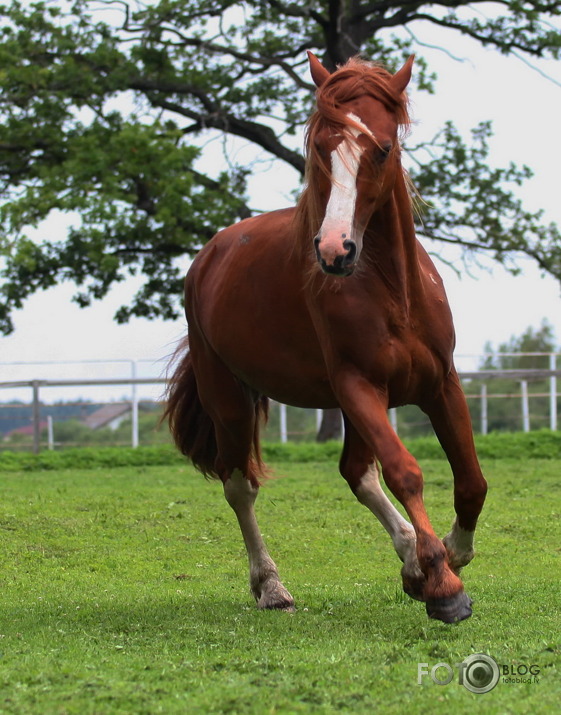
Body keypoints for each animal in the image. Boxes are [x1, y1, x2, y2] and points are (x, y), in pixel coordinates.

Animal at [165, 53, 486, 624]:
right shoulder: (358, 387)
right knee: (239, 484)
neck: (393, 292)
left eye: (382, 147)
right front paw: (443, 583)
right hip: (230, 400)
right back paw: (271, 586)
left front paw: (446, 556)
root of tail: (212, 253)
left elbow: (470, 480)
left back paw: (409, 557)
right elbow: (405, 472)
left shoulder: (440, 385)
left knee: (356, 472)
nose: (335, 250)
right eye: (319, 146)